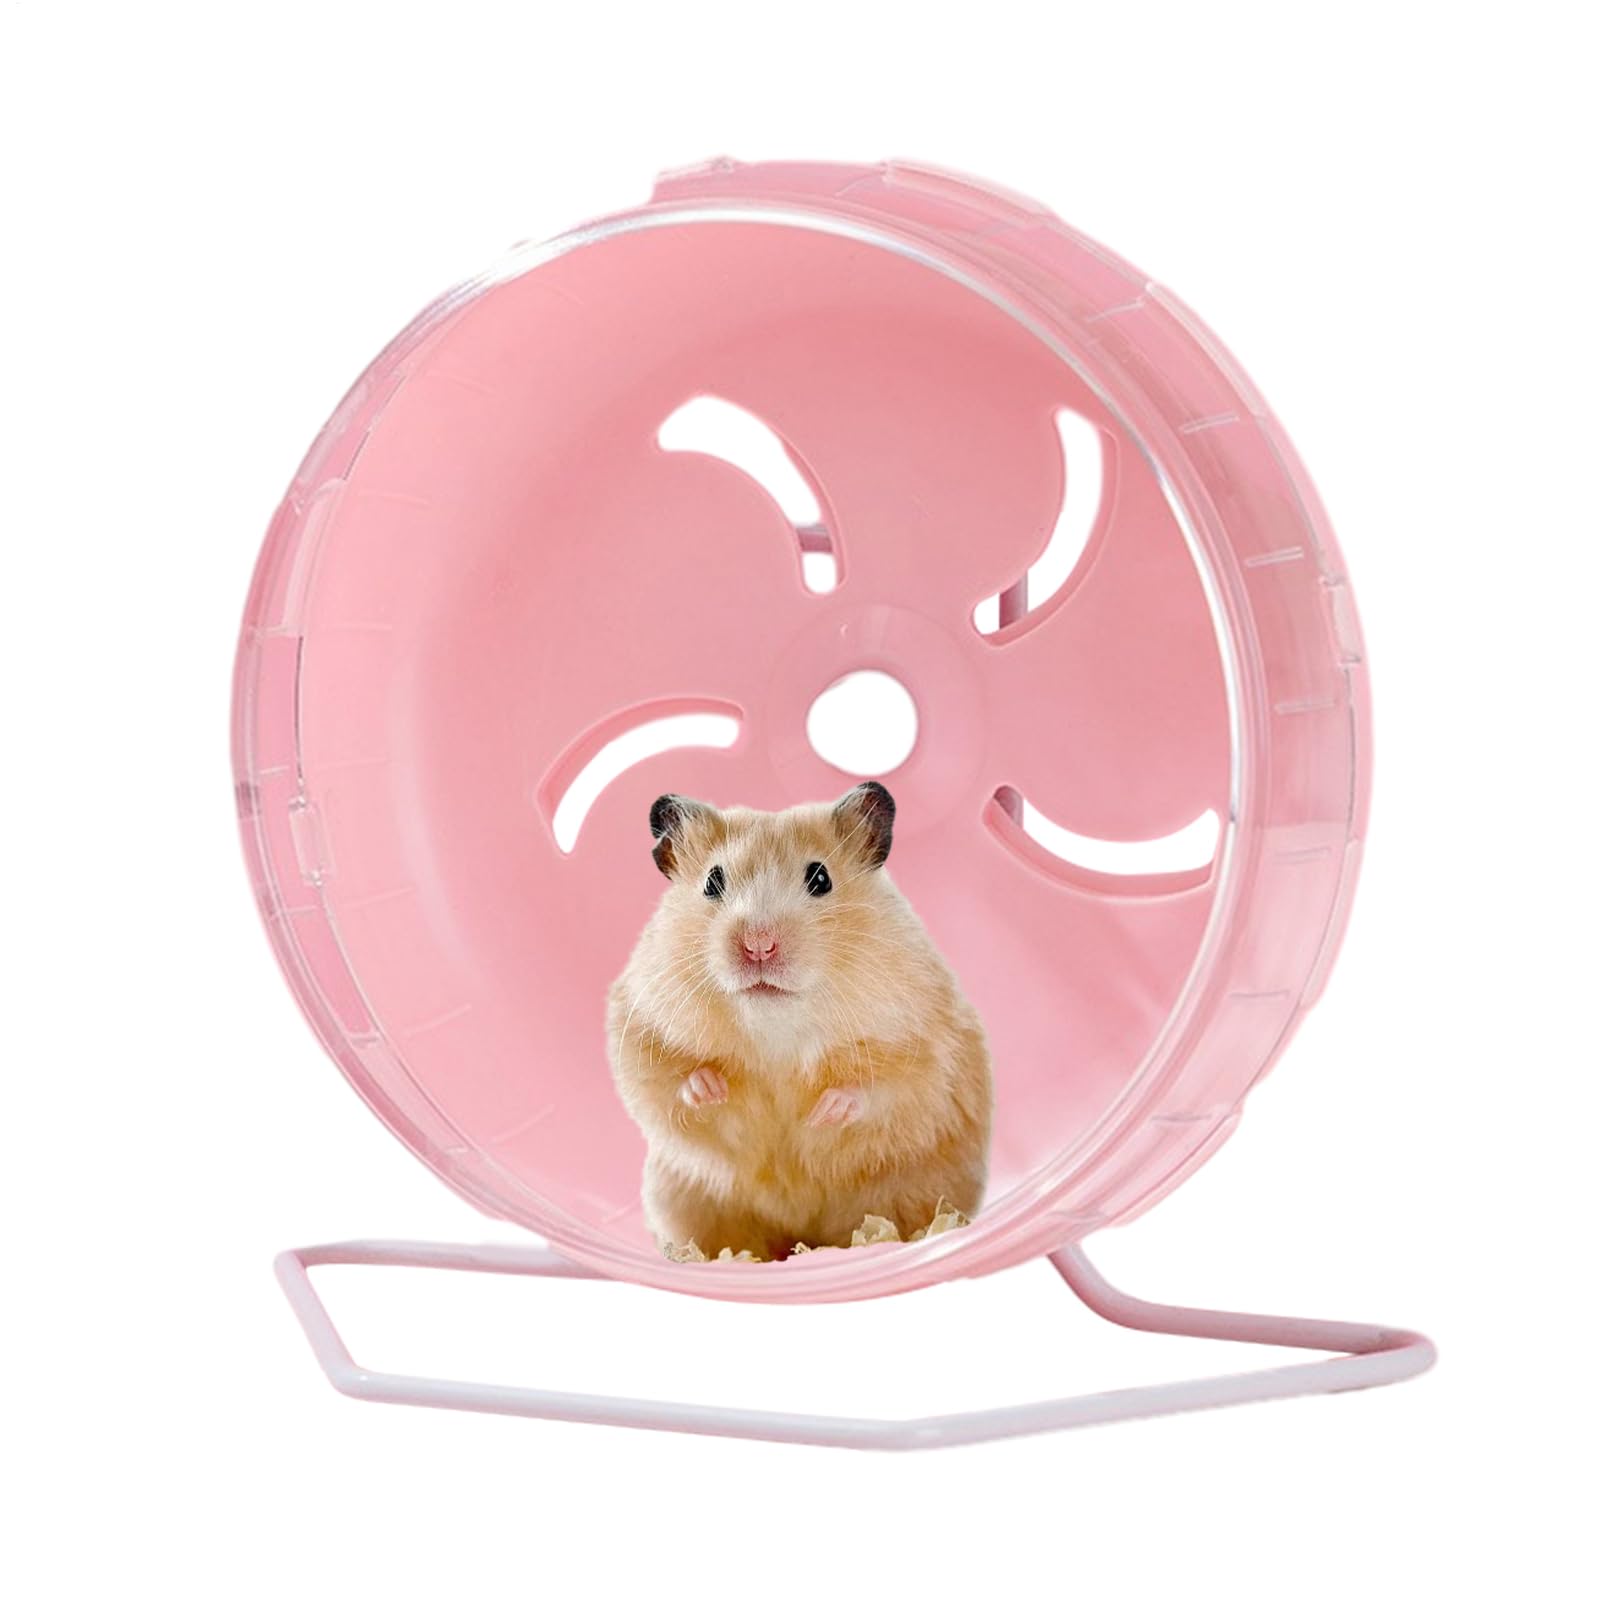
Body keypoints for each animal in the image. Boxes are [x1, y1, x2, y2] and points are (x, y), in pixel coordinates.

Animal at [606, 780, 993, 1260]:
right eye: (712, 882)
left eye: (820, 878)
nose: (758, 945)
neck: (776, 1025)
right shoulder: (639, 1022)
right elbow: (662, 1080)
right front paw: (711, 1088)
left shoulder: (924, 1041)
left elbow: (887, 1087)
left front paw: (823, 1112)